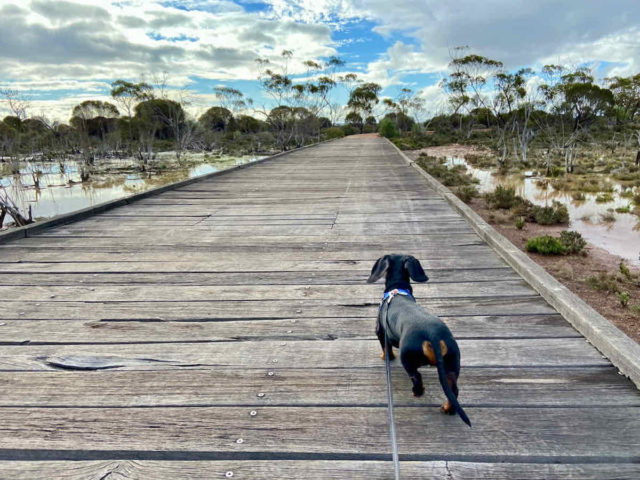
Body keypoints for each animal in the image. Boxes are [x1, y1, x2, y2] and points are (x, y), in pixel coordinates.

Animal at [370, 253, 470, 426]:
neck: (397, 291)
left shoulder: (380, 332)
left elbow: (386, 348)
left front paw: (386, 357)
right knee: (453, 390)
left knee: (417, 377)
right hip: (451, 366)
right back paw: (448, 408)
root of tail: (433, 335)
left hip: (408, 359)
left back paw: (417, 392)